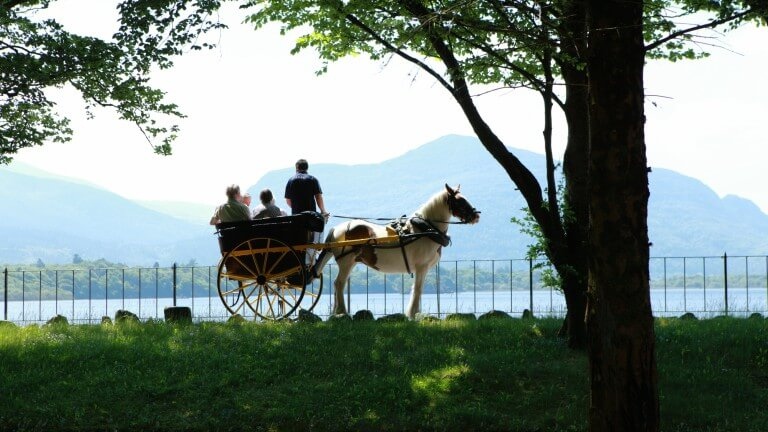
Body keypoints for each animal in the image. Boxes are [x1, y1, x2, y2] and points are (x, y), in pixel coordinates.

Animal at [310, 184, 480, 318]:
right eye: (460, 200)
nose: (476, 215)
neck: (425, 229)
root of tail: (337, 229)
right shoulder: (421, 266)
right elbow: (417, 289)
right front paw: (412, 313)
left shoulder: (424, 269)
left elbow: (419, 289)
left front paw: (416, 313)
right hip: (347, 262)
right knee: (339, 284)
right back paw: (342, 311)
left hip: (350, 262)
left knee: (338, 284)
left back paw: (336, 312)